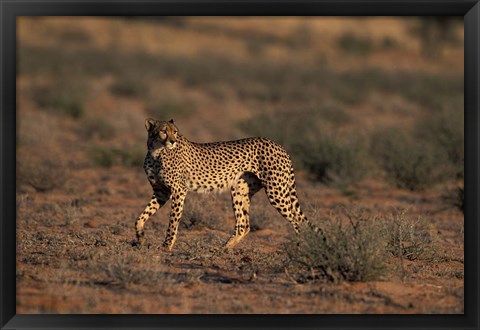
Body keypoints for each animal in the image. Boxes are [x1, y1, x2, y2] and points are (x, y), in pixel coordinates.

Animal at [135, 118, 314, 250]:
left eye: (175, 132)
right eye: (164, 131)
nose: (172, 141)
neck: (156, 152)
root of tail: (278, 145)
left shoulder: (178, 190)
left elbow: (173, 221)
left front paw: (166, 246)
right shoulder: (161, 192)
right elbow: (140, 217)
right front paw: (141, 239)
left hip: (276, 192)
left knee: (297, 221)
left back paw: (301, 249)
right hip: (239, 190)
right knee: (244, 225)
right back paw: (224, 248)